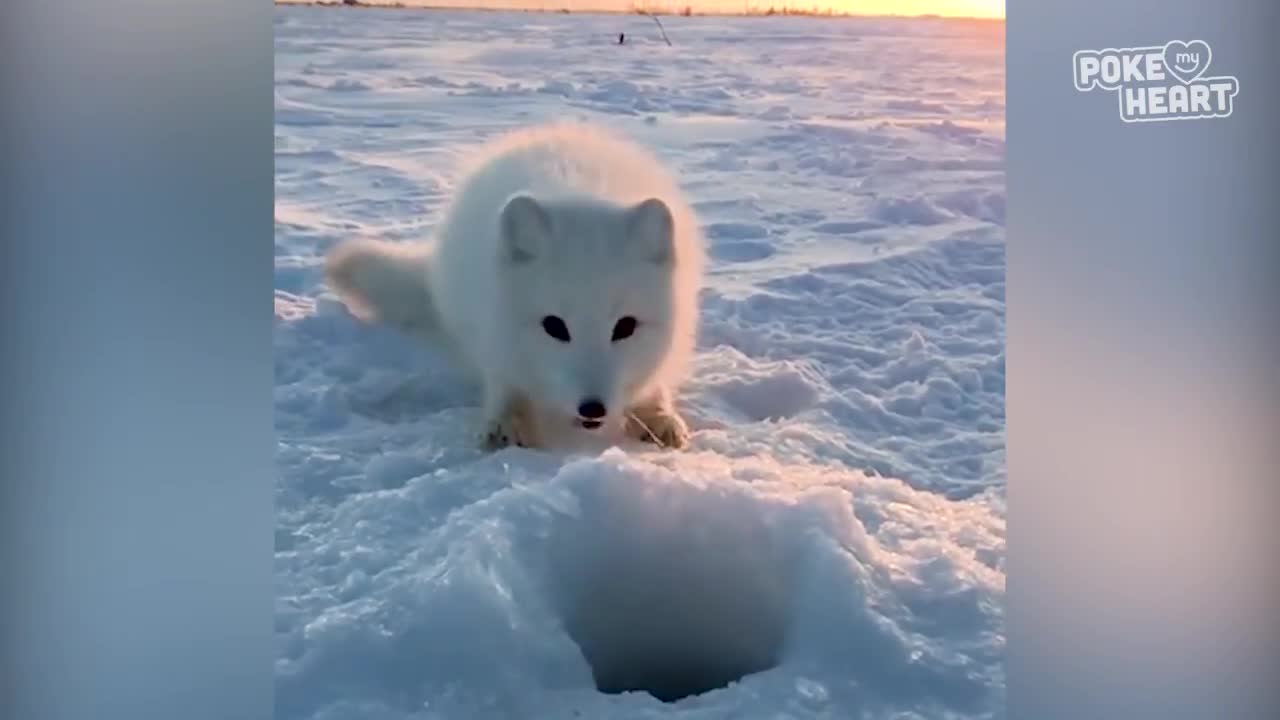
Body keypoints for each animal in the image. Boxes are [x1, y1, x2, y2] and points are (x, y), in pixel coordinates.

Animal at [325, 122, 706, 448]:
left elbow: (655, 388)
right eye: (554, 326)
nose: (593, 408)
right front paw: (503, 425)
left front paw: (659, 417)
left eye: (625, 326)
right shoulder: (496, 339)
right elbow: (504, 385)